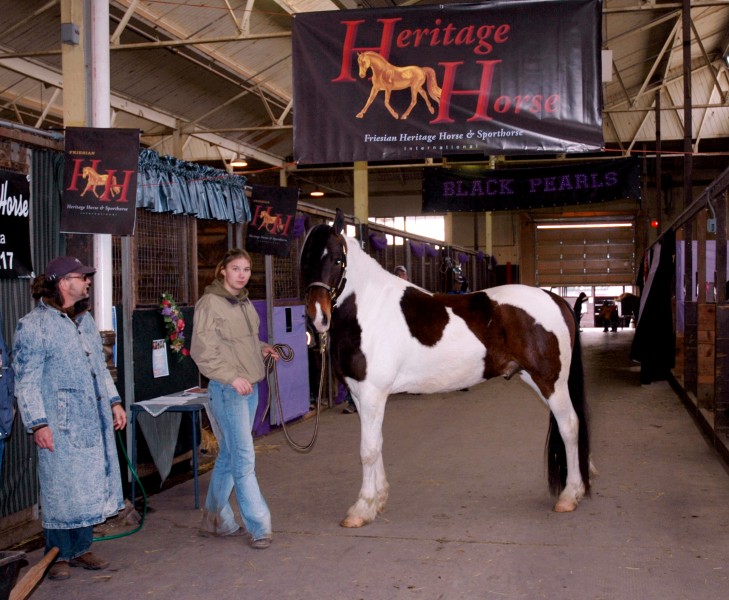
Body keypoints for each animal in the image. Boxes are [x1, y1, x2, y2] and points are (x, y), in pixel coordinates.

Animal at [300, 211, 592, 528]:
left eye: (337, 259)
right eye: (305, 259)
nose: (318, 317)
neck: (369, 309)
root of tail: (556, 299)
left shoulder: (371, 393)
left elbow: (368, 450)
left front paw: (361, 509)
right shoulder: (360, 394)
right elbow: (376, 444)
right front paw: (377, 501)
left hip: (551, 382)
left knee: (569, 426)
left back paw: (569, 496)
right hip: (537, 380)